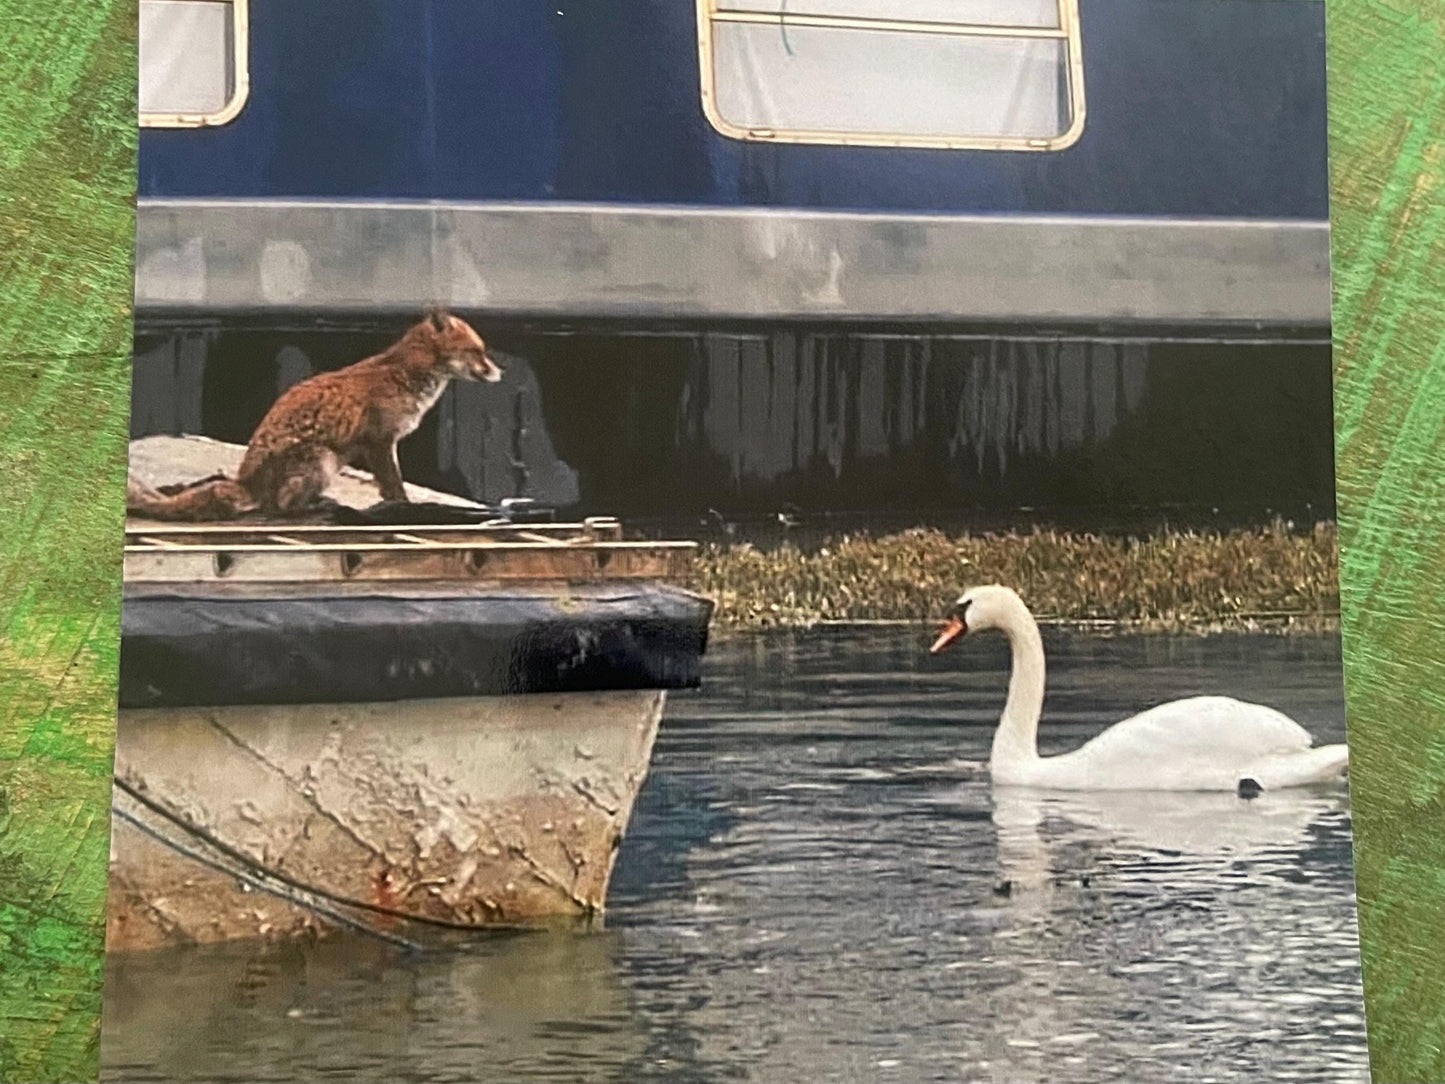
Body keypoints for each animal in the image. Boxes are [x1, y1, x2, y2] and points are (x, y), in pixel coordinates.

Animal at [126, 309, 503, 521]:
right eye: (477, 352)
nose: (500, 373)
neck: (404, 375)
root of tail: (246, 481)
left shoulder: (381, 444)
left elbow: (388, 487)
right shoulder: (380, 441)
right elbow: (394, 485)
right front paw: (404, 508)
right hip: (323, 459)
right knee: (279, 507)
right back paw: (314, 506)